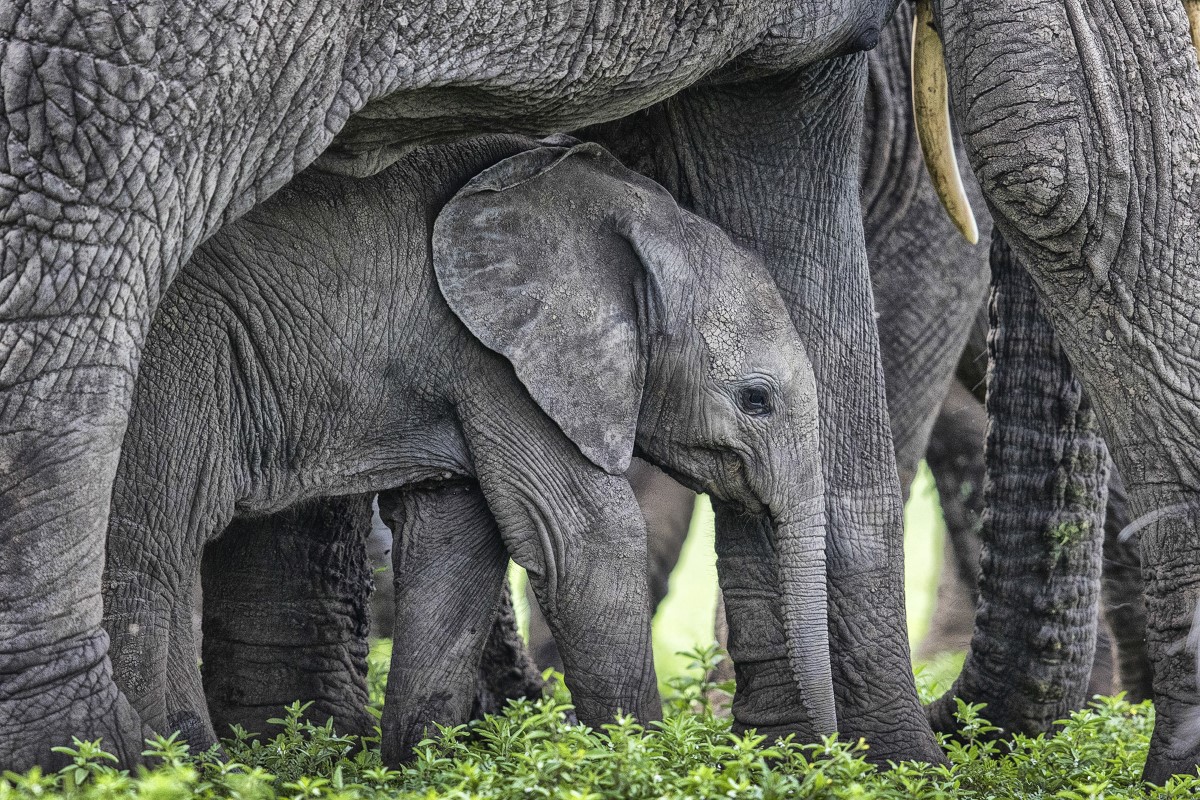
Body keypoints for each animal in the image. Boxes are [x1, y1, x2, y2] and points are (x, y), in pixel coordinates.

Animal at [103, 137, 835, 762]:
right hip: (176, 355)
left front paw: (415, 766)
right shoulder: (498, 363)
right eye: (756, 400)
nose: (823, 752)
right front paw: (643, 760)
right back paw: (181, 761)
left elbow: (455, 542)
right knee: (154, 549)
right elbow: (588, 541)